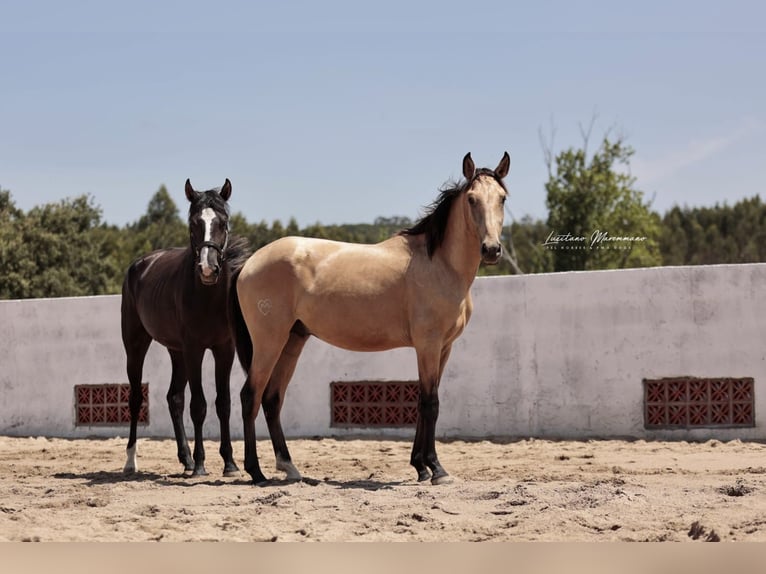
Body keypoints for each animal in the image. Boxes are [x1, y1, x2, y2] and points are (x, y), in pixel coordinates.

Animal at [121, 178, 250, 477]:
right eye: (193, 223)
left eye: (223, 222)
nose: (208, 268)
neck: (208, 296)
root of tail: (139, 265)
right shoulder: (195, 349)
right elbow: (199, 405)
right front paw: (201, 464)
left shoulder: (223, 350)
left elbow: (223, 404)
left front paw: (229, 463)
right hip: (136, 345)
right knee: (136, 399)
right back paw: (131, 461)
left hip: (176, 351)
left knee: (174, 398)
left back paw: (186, 458)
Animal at [231, 152, 510, 485]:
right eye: (471, 199)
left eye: (502, 198)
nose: (491, 249)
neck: (440, 264)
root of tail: (249, 264)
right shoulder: (428, 345)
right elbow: (431, 403)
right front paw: (436, 469)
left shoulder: (443, 347)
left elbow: (423, 401)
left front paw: (420, 467)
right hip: (269, 342)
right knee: (250, 396)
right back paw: (256, 472)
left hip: (292, 341)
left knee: (272, 399)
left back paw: (290, 467)